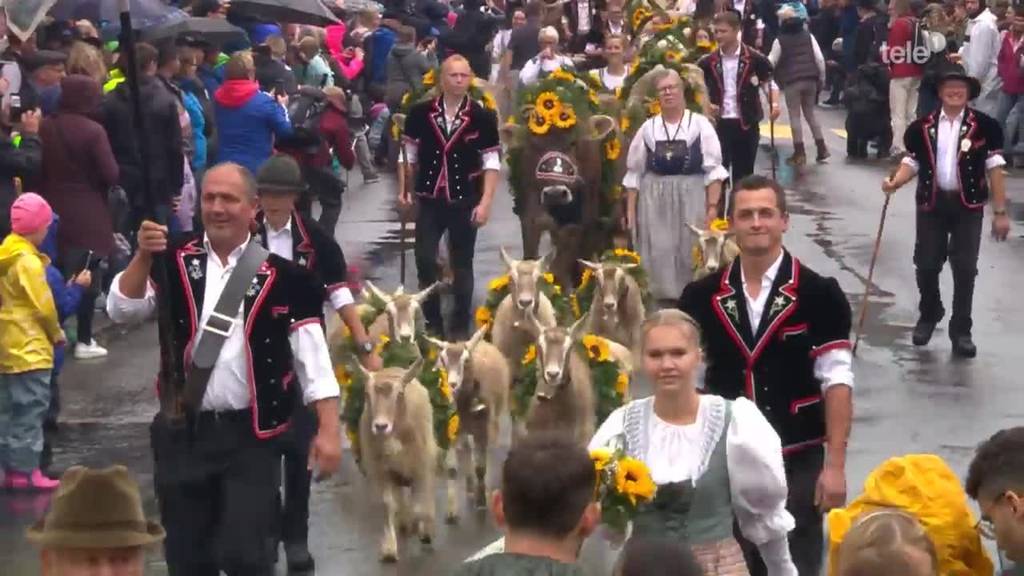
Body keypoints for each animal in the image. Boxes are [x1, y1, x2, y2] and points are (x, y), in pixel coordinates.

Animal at [356, 358, 436, 561]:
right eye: (367, 394)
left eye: (399, 393)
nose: (380, 426)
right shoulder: (382, 471)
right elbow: (388, 504)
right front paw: (389, 548)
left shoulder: (421, 468)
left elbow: (420, 507)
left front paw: (422, 530)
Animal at [423, 323, 507, 520]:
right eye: (442, 359)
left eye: (466, 360)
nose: (452, 384)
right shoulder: (450, 430)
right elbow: (452, 470)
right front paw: (451, 511)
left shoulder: (482, 430)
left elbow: (481, 468)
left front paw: (481, 501)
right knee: (467, 451)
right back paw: (469, 487)